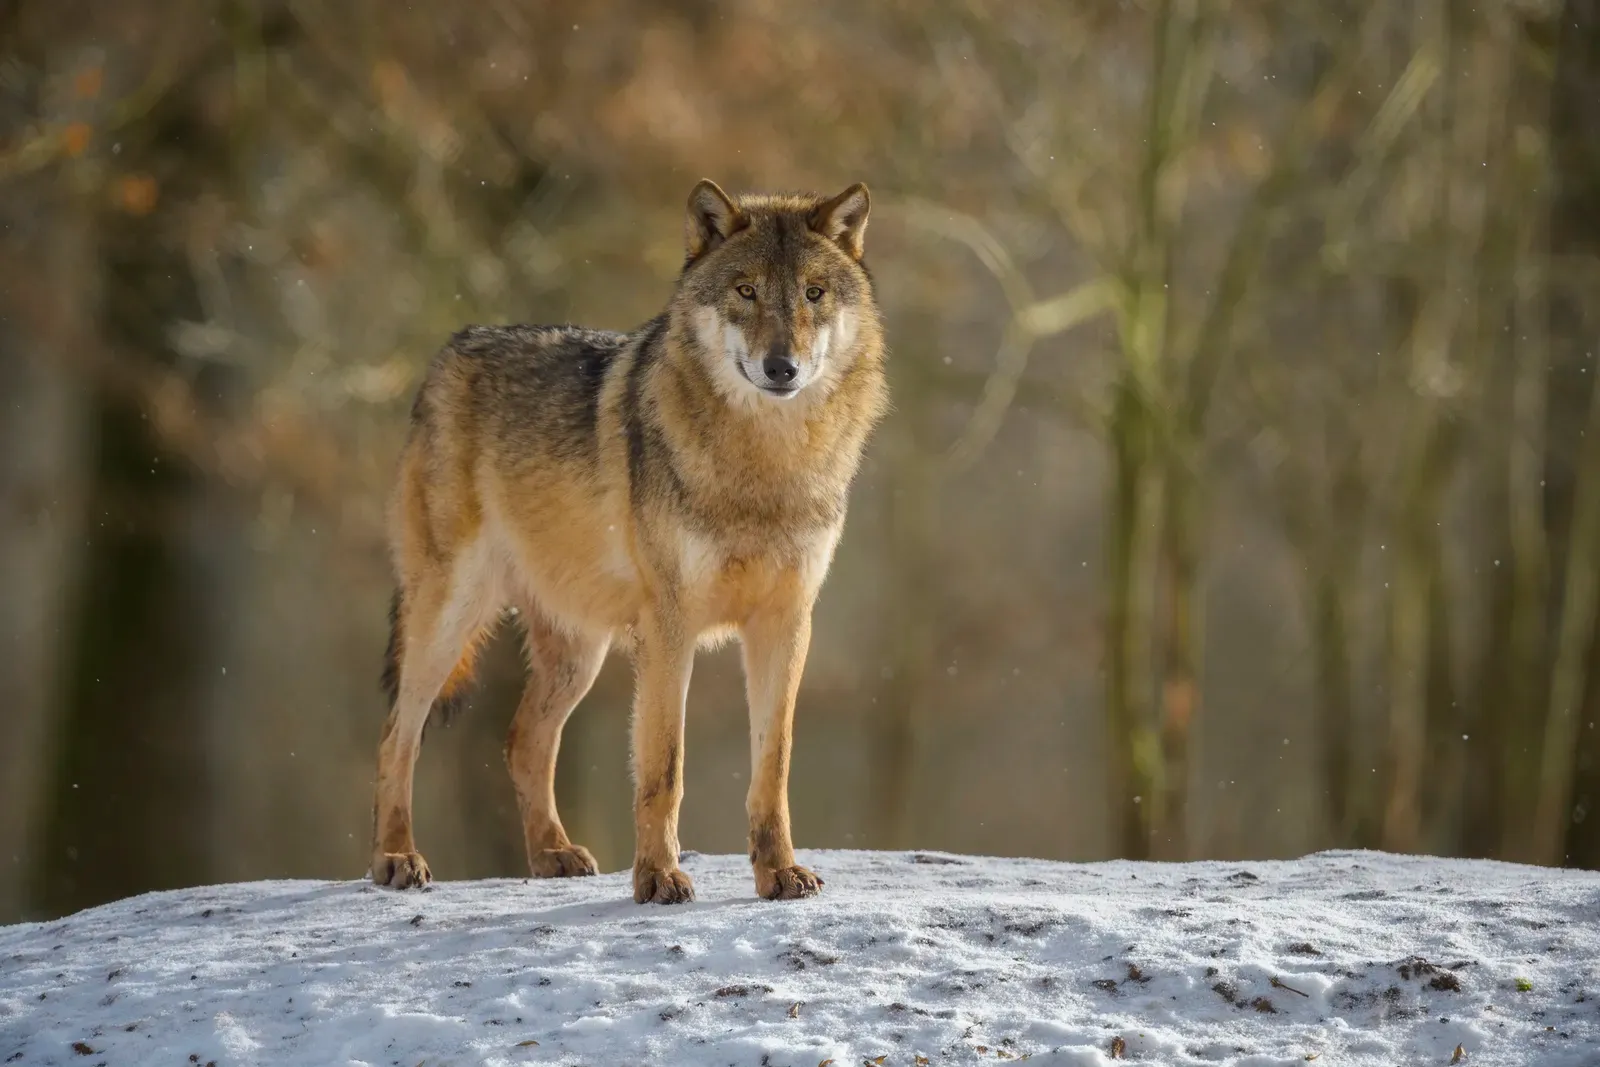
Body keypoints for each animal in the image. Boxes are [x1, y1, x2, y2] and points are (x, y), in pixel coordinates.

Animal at [368, 179, 889, 908]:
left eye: (814, 293)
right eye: (746, 290)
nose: (781, 367)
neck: (764, 467)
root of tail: (451, 348)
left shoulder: (786, 623)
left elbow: (774, 766)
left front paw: (780, 872)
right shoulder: (670, 627)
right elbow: (663, 767)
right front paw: (658, 877)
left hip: (578, 652)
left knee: (523, 740)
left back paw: (552, 854)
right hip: (449, 617)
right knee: (397, 736)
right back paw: (395, 858)